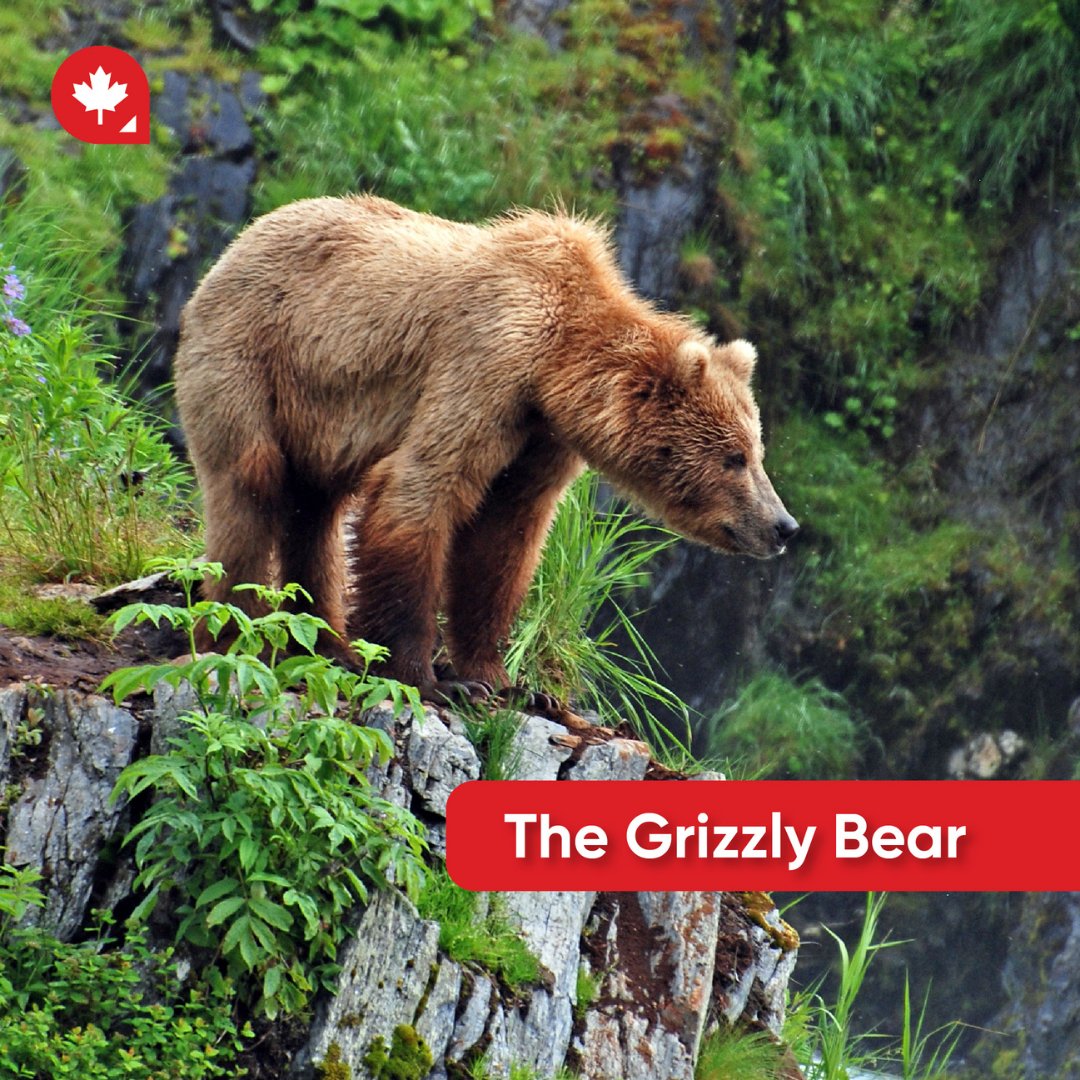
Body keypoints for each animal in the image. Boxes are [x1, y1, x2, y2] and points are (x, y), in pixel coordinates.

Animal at [173, 195, 798, 701]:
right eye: (735, 458)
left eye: (756, 451)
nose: (783, 526)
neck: (555, 367)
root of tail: (237, 243)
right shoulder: (487, 362)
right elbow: (421, 492)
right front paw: (429, 678)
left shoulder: (539, 438)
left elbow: (503, 537)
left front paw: (500, 678)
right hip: (252, 358)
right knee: (250, 486)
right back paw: (233, 630)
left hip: (316, 417)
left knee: (317, 511)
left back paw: (328, 643)